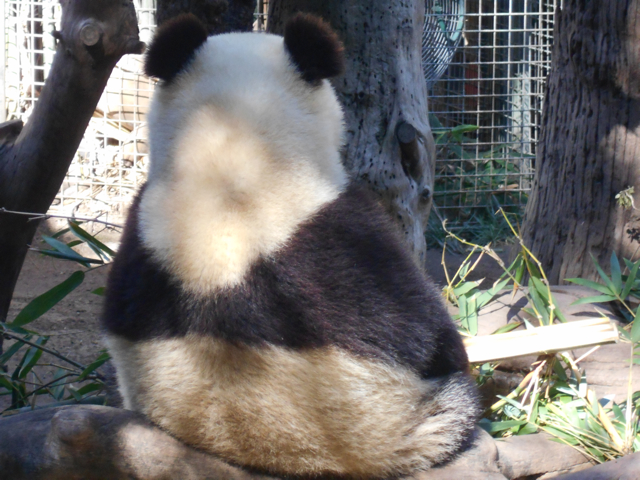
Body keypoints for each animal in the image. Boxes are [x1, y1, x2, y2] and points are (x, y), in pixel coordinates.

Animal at [102, 13, 479, 478]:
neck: (230, 155)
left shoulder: (135, 245)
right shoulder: (351, 239)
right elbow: (430, 335)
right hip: (414, 423)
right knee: (456, 402)